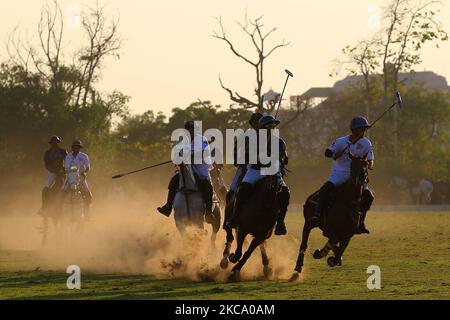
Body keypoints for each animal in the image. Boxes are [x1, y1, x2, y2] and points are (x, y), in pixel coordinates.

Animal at [292, 152, 370, 280]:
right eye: (352, 165)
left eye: (366, 164)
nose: (360, 179)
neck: (348, 202)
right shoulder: (331, 228)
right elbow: (334, 243)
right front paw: (323, 253)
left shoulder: (348, 234)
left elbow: (338, 253)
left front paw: (331, 257)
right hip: (308, 223)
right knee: (304, 243)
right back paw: (298, 266)